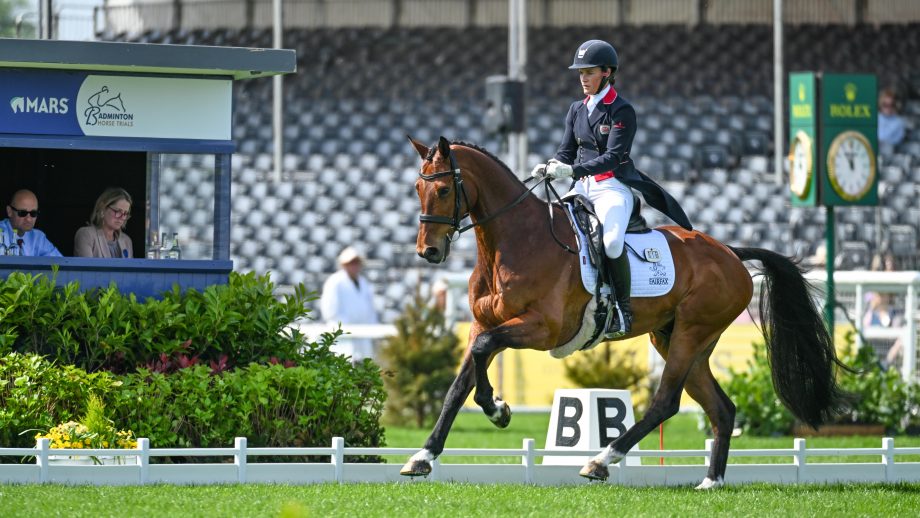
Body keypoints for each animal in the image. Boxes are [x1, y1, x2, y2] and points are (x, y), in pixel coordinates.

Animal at [402, 136, 848, 490]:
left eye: (444, 189)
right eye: (417, 187)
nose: (428, 252)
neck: (513, 242)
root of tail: (730, 252)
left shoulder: (541, 330)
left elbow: (482, 350)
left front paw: (497, 410)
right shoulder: (485, 322)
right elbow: (459, 385)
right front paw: (424, 456)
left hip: (690, 334)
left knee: (665, 402)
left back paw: (601, 461)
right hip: (678, 339)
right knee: (721, 409)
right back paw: (711, 481)